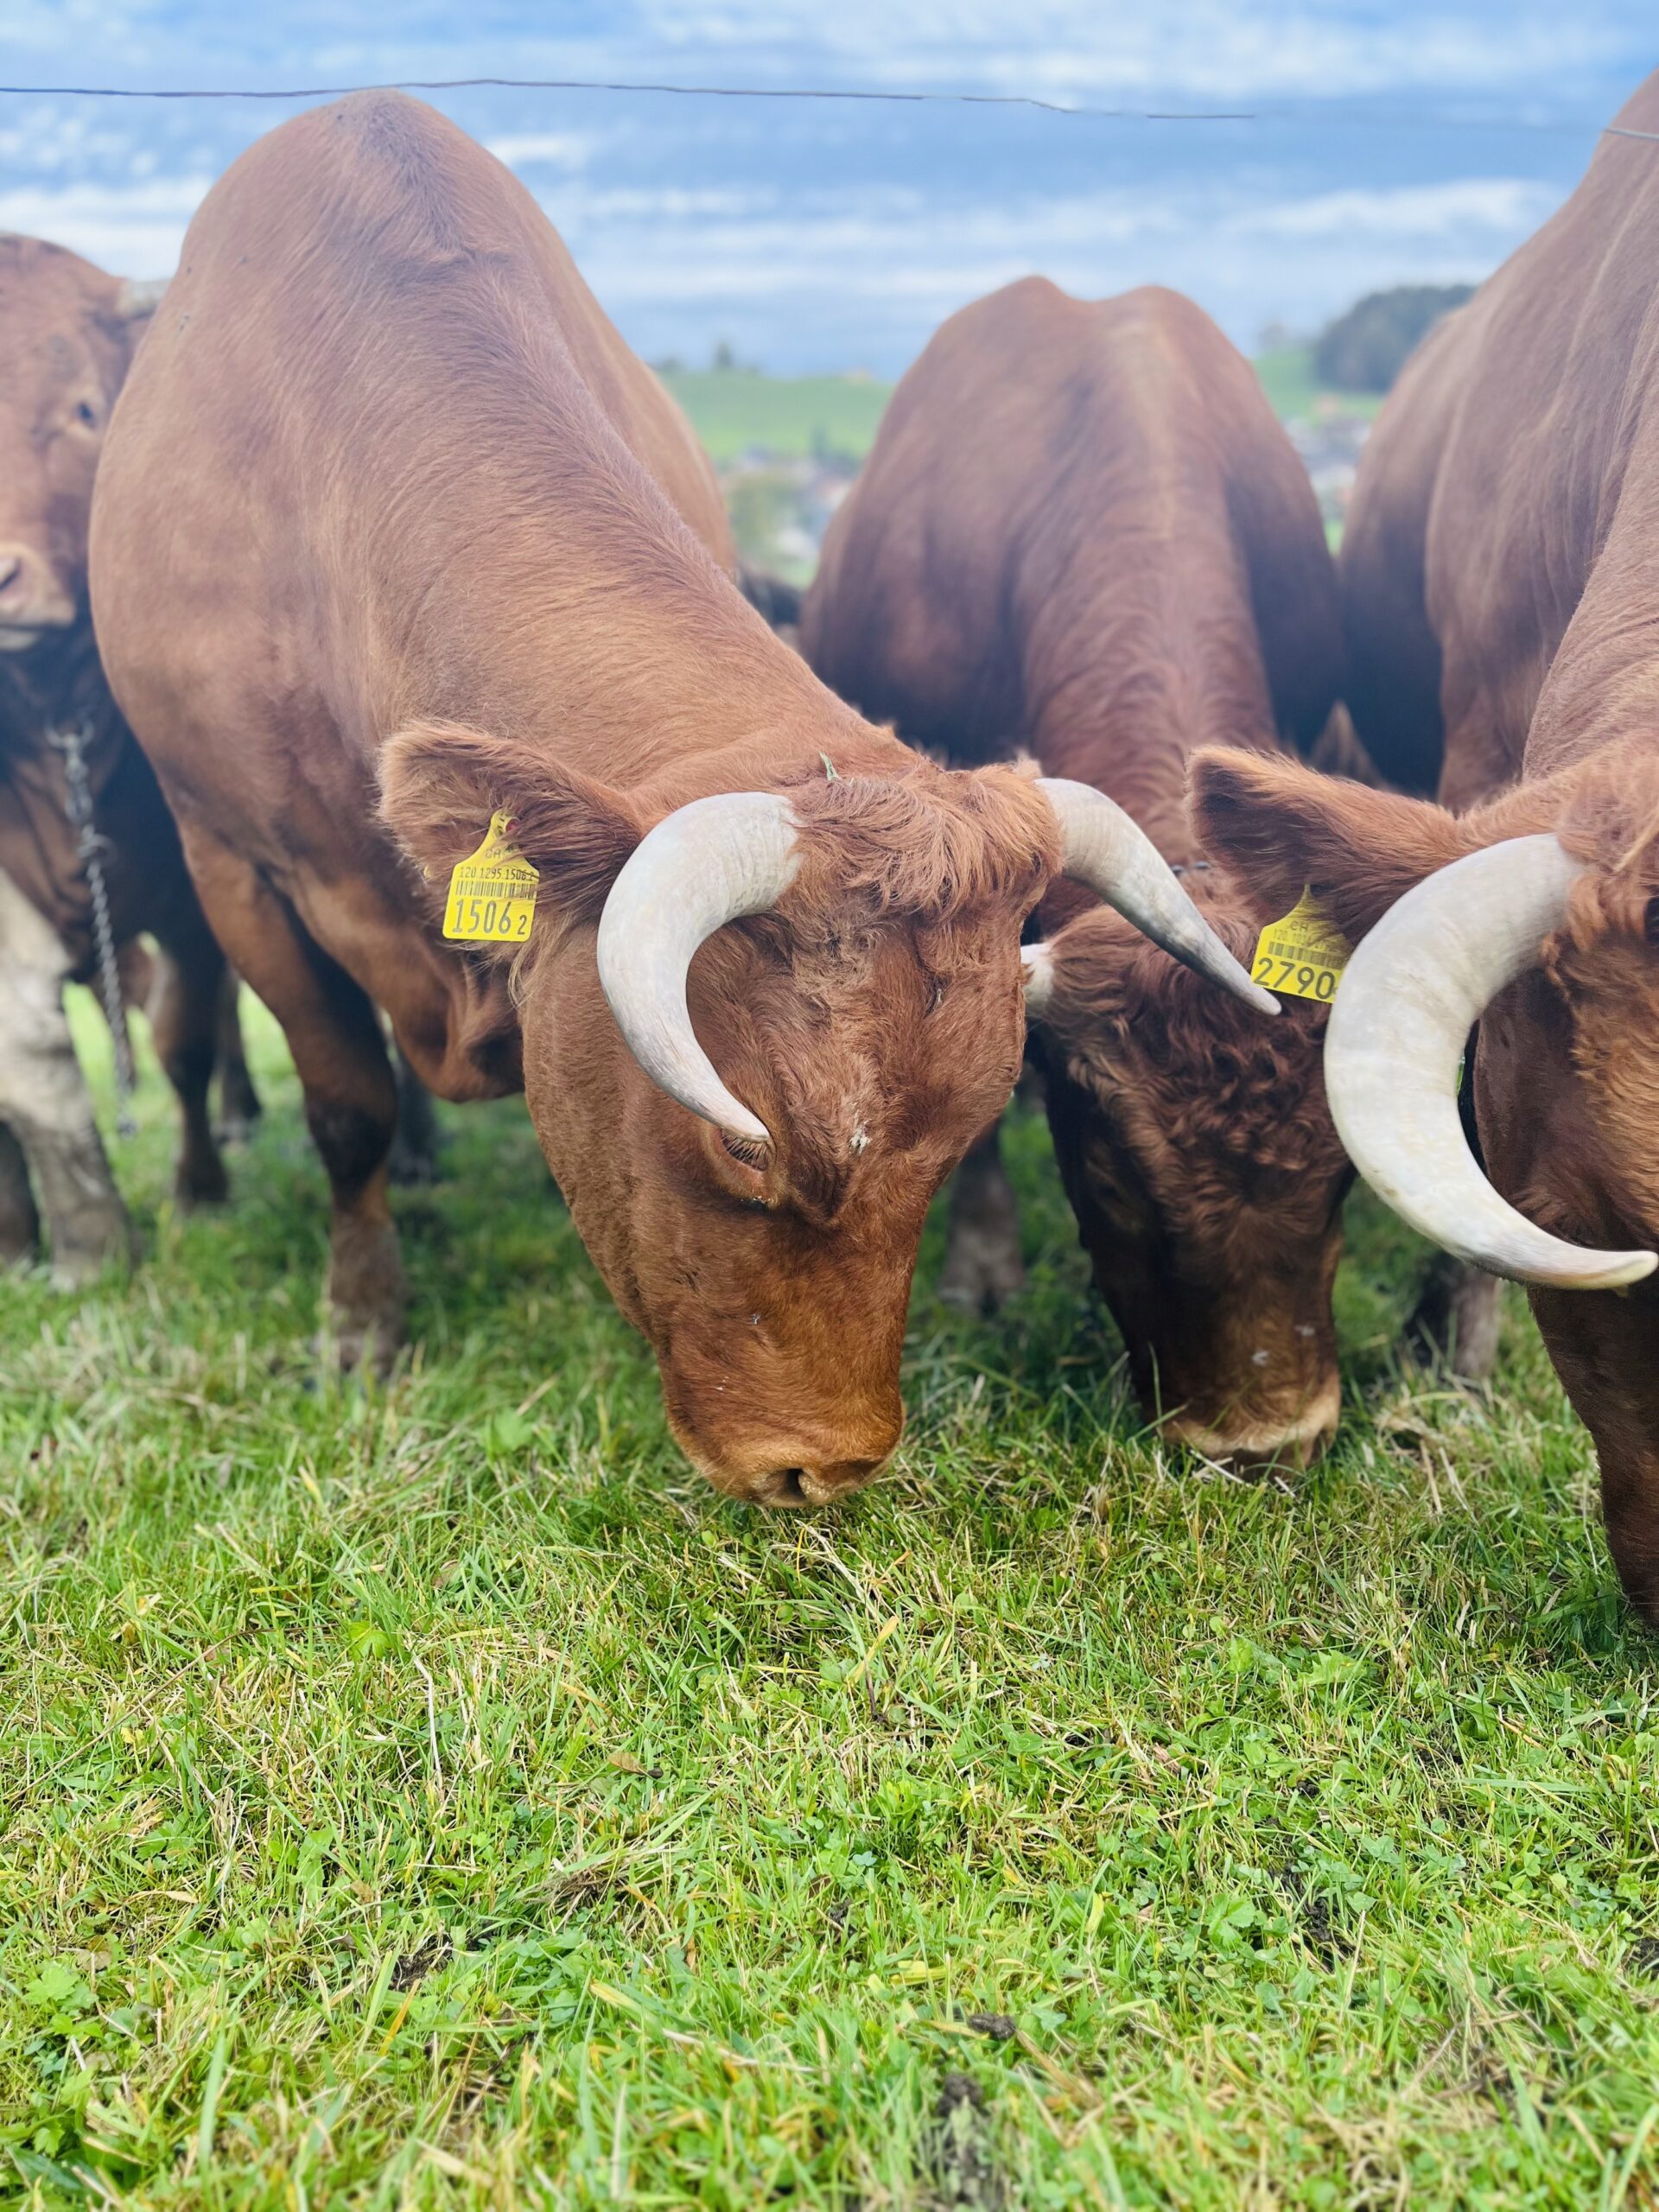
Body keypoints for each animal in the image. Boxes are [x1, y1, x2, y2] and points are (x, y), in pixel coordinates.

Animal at [89, 95, 1268, 1506]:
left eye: (962, 1140)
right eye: (744, 1148)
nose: (830, 1467)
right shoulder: (235, 864)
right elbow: (344, 1103)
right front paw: (362, 1324)